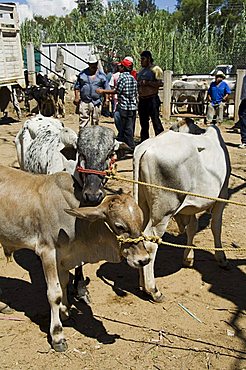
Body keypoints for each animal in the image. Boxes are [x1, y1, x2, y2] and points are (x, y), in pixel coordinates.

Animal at [0, 166, 150, 352]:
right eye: (119, 226)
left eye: (141, 220)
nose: (144, 259)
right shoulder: (47, 251)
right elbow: (54, 293)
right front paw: (58, 335)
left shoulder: (64, 255)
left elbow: (64, 283)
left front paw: (65, 311)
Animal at [133, 125, 231, 302]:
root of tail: (146, 146)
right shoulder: (223, 195)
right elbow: (216, 226)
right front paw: (222, 259)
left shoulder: (189, 207)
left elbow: (192, 228)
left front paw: (188, 258)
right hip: (163, 212)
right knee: (150, 243)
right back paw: (153, 290)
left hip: (143, 205)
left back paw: (142, 286)